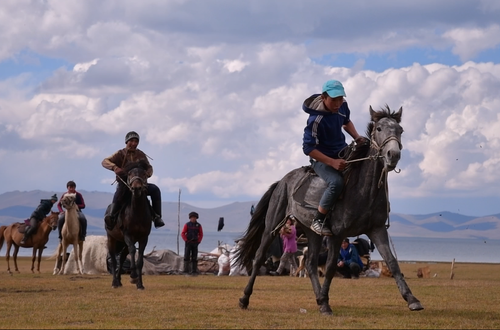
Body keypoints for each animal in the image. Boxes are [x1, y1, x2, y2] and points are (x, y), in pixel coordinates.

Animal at [234, 105, 422, 314]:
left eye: (400, 130)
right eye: (379, 128)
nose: (393, 155)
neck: (364, 190)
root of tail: (282, 181)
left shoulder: (377, 230)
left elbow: (393, 263)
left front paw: (412, 299)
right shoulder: (337, 234)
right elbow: (331, 266)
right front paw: (326, 302)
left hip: (312, 232)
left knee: (310, 264)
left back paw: (318, 298)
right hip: (272, 227)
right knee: (259, 258)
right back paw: (244, 299)